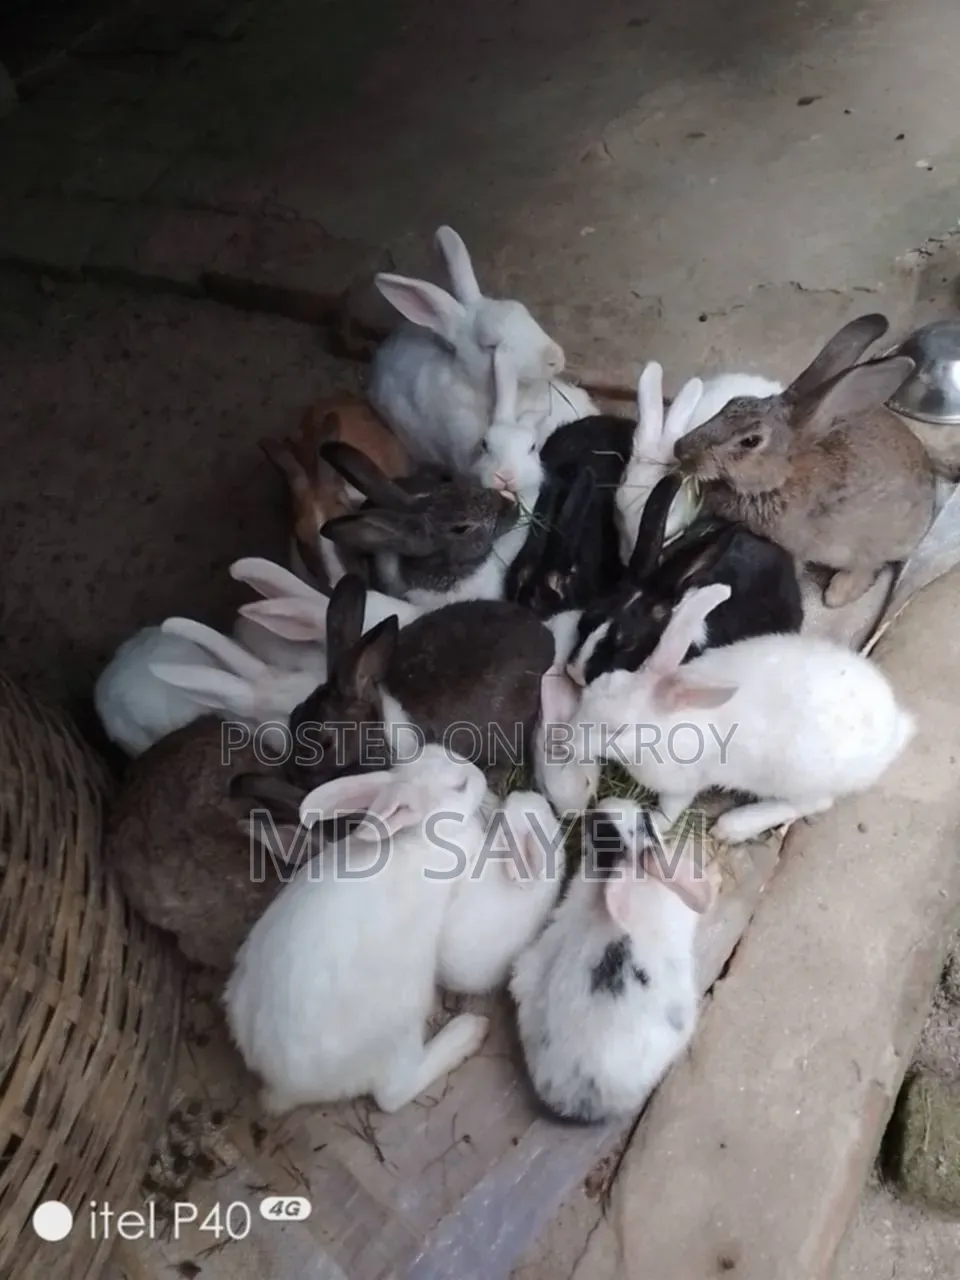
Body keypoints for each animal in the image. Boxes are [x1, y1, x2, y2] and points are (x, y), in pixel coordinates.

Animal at [223, 746, 492, 1115]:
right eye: (461, 785)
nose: (482, 776)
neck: (420, 834)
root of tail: (282, 1087)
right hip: (400, 1026)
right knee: (393, 1094)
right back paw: (468, 1030)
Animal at [578, 581, 916, 843]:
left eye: (617, 729)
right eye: (597, 686)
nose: (568, 742)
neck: (668, 719)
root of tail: (896, 729)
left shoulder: (682, 784)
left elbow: (669, 809)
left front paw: (656, 823)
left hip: (800, 780)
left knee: (813, 804)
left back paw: (733, 827)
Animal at [672, 313, 937, 607]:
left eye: (750, 441)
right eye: (732, 402)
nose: (680, 449)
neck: (780, 478)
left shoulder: (792, 547)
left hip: (870, 542)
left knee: (868, 567)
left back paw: (837, 593)